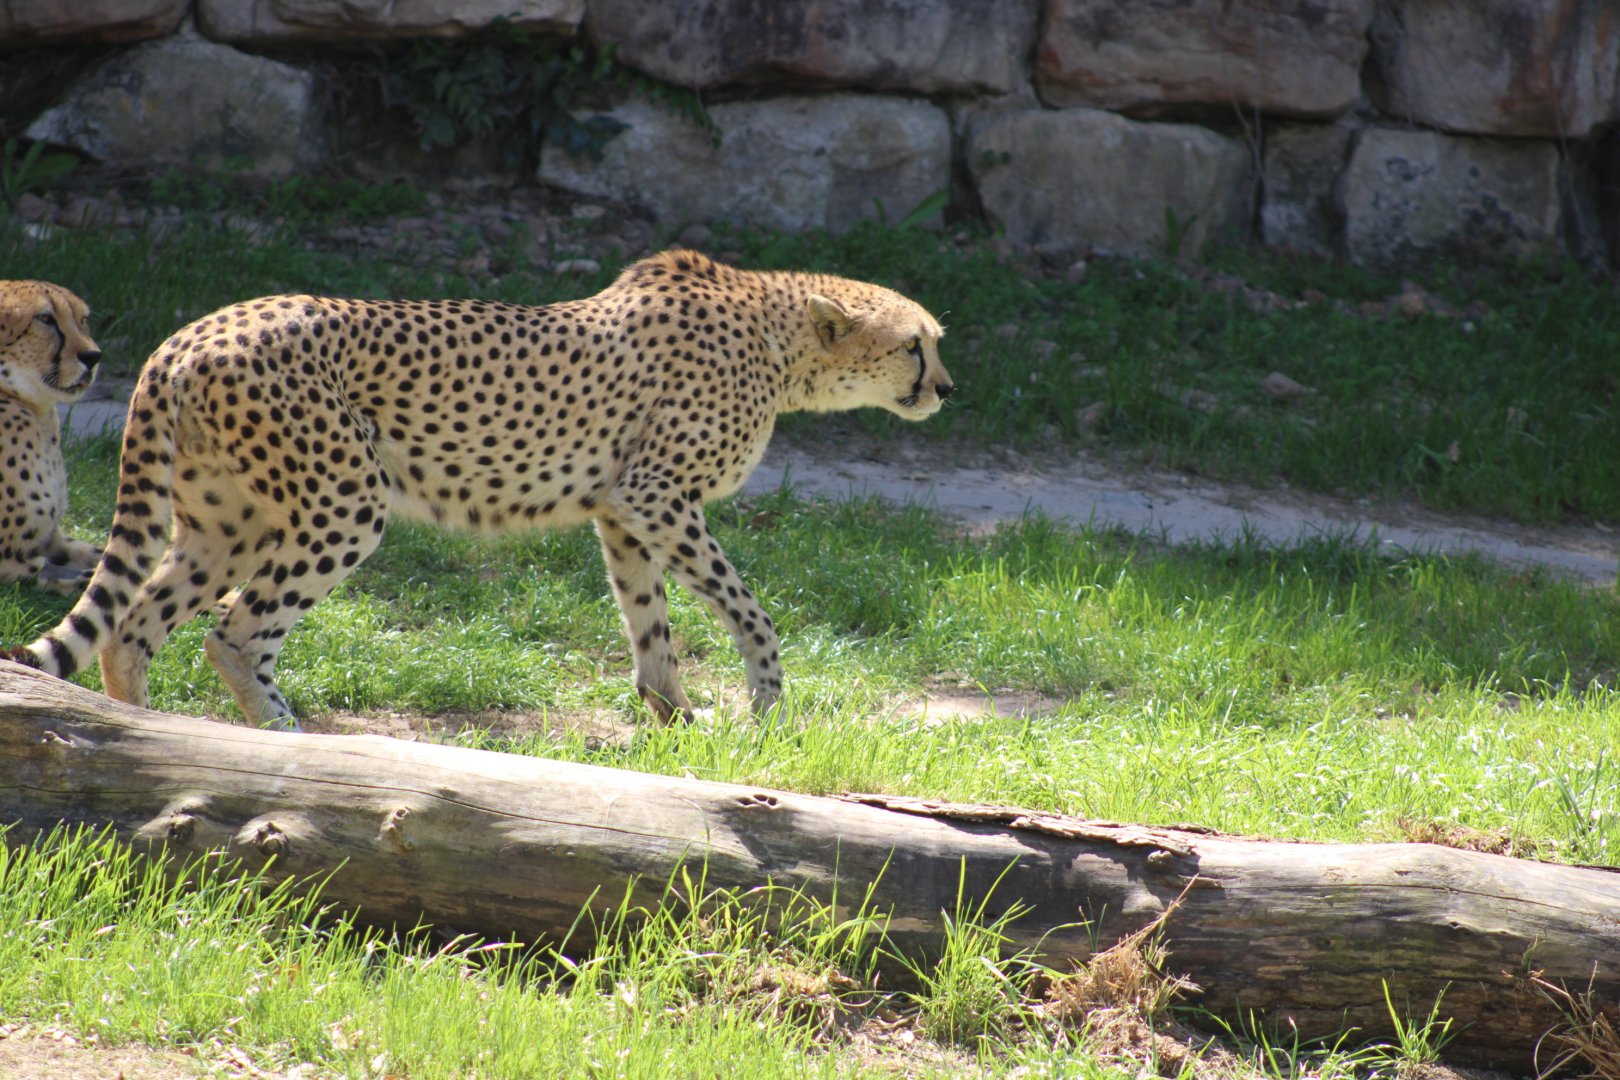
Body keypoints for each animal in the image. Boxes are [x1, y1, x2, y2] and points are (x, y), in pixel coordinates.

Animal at [0, 280, 104, 595]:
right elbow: (43, 572)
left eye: (83, 319)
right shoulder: (13, 560)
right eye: (45, 319)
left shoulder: (52, 539)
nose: (93, 357)